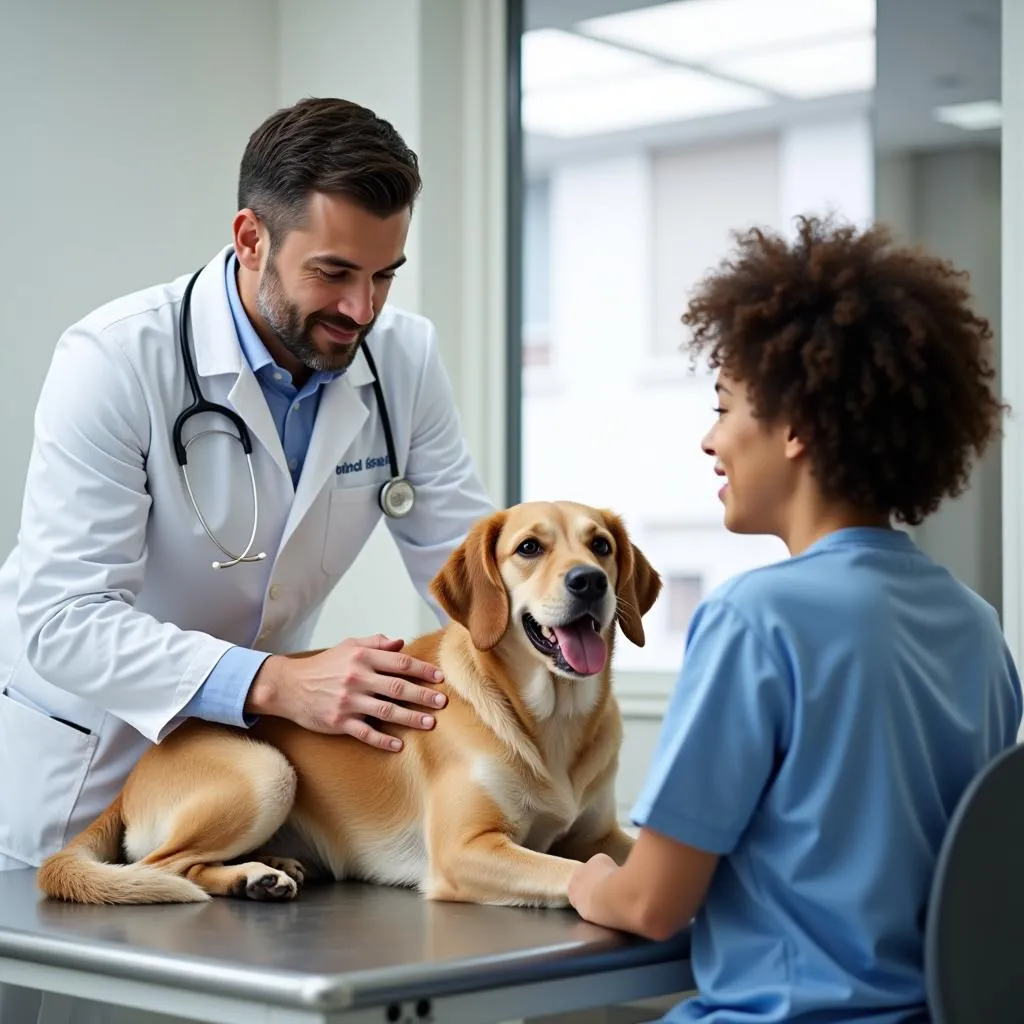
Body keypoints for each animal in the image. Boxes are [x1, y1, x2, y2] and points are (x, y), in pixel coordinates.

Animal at [36, 499, 659, 909]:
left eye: (601, 546)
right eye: (529, 548)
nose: (589, 581)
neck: (552, 720)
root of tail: (130, 781)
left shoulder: (599, 833)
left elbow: (610, 853)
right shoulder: (465, 850)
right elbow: (570, 870)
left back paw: (265, 871)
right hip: (267, 772)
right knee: (162, 866)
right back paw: (246, 876)